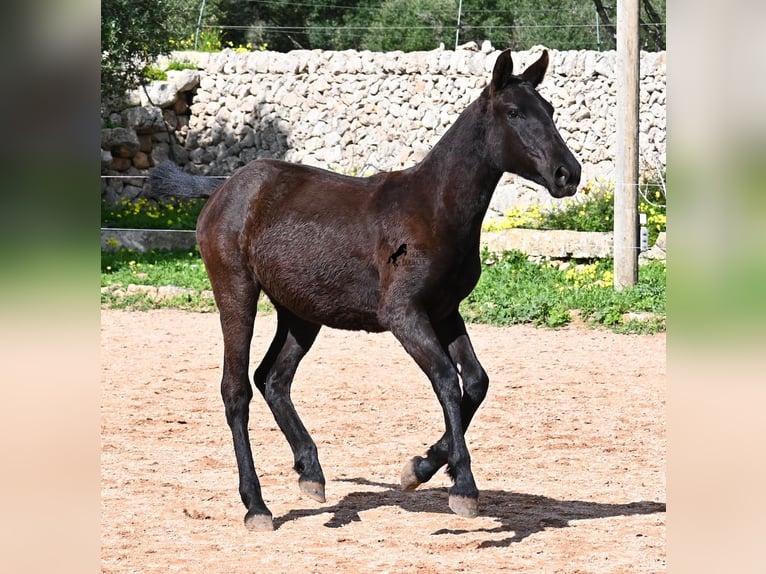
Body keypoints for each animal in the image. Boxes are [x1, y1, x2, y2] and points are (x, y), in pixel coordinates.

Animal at [153, 49, 580, 532]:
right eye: (513, 113)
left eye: (550, 110)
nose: (568, 174)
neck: (434, 208)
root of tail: (224, 186)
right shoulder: (403, 314)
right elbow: (446, 381)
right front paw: (463, 488)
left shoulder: (445, 310)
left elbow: (475, 382)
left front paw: (419, 468)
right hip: (236, 291)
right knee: (237, 389)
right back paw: (256, 506)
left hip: (301, 313)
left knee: (273, 378)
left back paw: (311, 473)